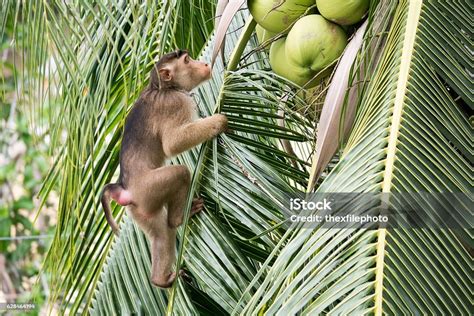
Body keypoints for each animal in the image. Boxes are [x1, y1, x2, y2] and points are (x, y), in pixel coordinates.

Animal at [100, 49, 228, 288]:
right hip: (148, 188)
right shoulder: (176, 103)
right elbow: (172, 143)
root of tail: (123, 187)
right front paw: (217, 122)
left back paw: (159, 279)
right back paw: (179, 219)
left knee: (160, 233)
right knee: (180, 174)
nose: (205, 64)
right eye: (187, 61)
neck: (163, 88)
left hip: (140, 207)